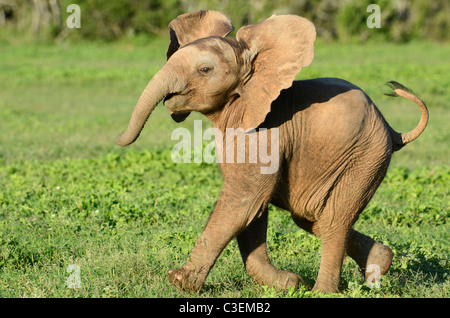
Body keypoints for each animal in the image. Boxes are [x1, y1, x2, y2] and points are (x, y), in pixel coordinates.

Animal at [116, 10, 428, 294]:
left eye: (205, 70)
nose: (119, 140)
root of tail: (391, 130)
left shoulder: (264, 132)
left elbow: (245, 200)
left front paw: (180, 281)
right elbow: (253, 209)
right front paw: (290, 283)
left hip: (366, 157)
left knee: (332, 219)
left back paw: (323, 291)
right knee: (310, 216)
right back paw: (380, 264)